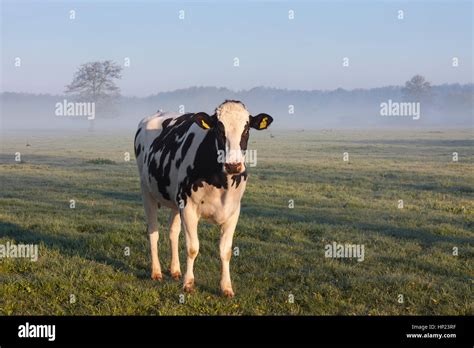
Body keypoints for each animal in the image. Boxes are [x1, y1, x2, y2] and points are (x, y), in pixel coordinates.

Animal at [134, 100, 274, 296]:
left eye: (246, 129)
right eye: (219, 129)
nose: (233, 166)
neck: (221, 181)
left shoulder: (233, 211)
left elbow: (225, 251)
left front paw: (226, 287)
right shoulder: (189, 207)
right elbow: (193, 248)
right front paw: (188, 283)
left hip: (175, 201)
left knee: (173, 232)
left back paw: (175, 270)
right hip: (147, 191)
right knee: (153, 232)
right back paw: (156, 271)